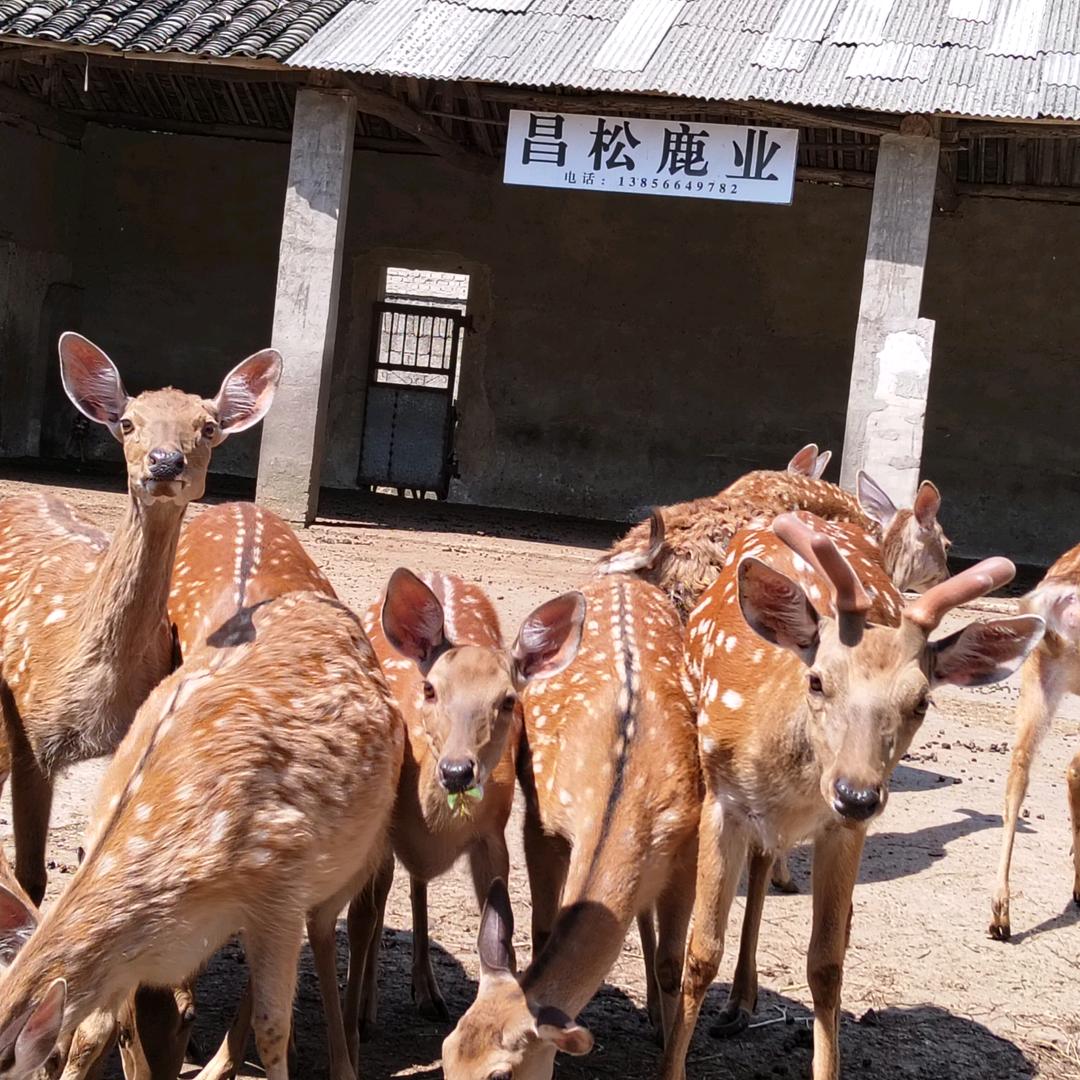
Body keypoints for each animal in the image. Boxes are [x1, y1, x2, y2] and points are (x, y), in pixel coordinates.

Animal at [0, 586, 403, 1080]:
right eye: (51, 1060)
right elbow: (95, 1029)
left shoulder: (280, 891)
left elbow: (273, 1029)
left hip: (356, 855)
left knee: (327, 930)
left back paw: (343, 1064)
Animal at [342, 569, 518, 1046]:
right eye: (430, 689)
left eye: (508, 699)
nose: (457, 770)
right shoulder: (382, 829)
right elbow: (367, 916)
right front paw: (359, 1016)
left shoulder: (494, 835)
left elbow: (501, 926)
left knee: (418, 881)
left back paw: (428, 992)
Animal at [442, 556, 702, 1080]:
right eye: (446, 1050)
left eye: (500, 1074)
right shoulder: (543, 820)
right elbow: (543, 931)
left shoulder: (690, 840)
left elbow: (673, 965)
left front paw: (673, 1060)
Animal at [658, 512, 1044, 1080]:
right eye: (818, 680)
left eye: (922, 701)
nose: (856, 793)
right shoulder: (722, 801)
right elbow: (702, 950)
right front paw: (673, 1063)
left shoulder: (842, 830)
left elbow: (827, 963)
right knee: (759, 865)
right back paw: (737, 1004)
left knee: (772, 870)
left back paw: (745, 1001)